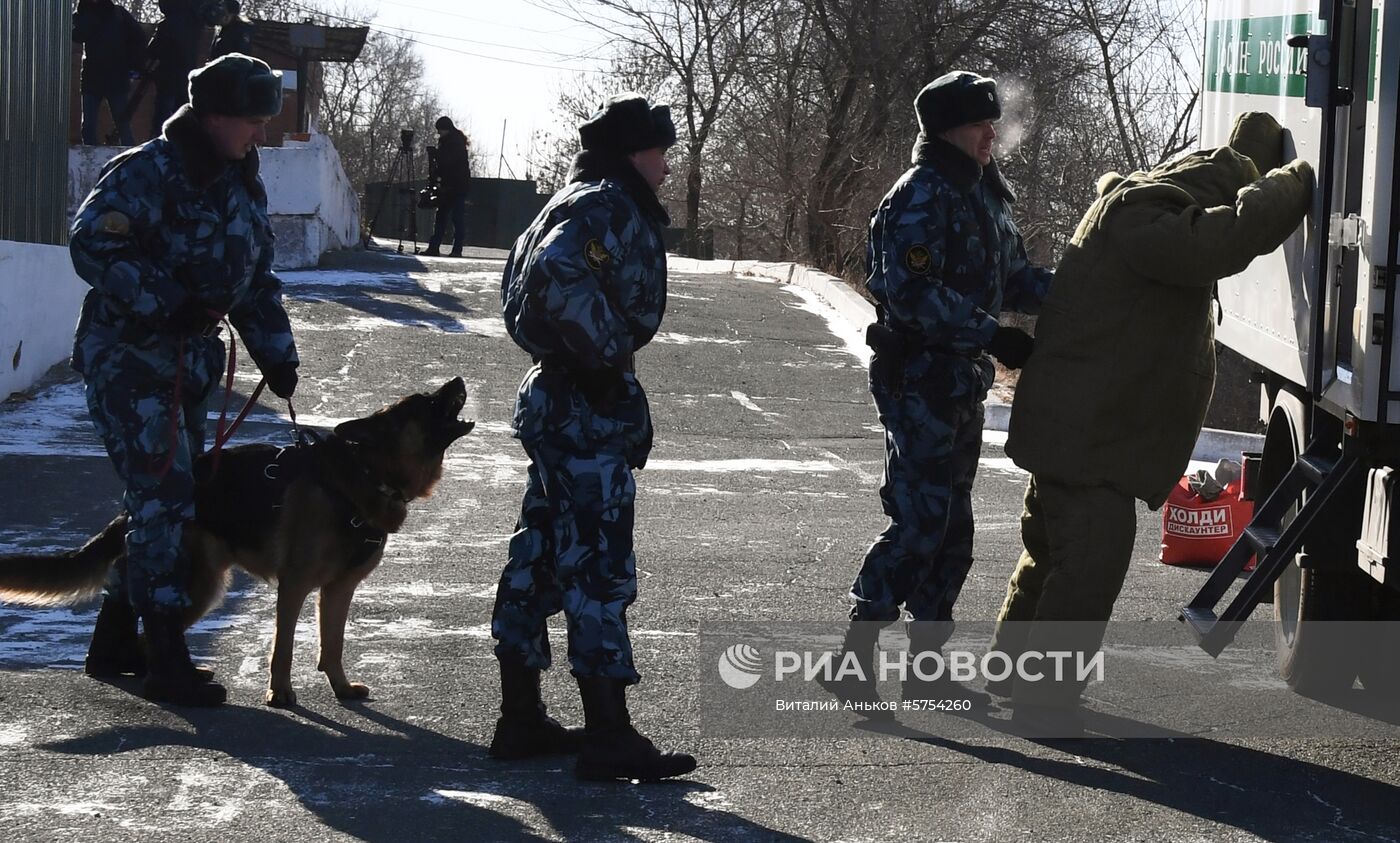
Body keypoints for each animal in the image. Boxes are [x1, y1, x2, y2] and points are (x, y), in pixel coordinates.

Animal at [0, 375, 476, 702]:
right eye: (423, 403)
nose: (458, 380)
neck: (367, 474)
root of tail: (131, 509)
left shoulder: (339, 590)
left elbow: (333, 644)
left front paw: (340, 687)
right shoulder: (295, 585)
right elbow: (284, 646)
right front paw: (280, 694)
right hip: (201, 584)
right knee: (154, 625)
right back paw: (170, 681)